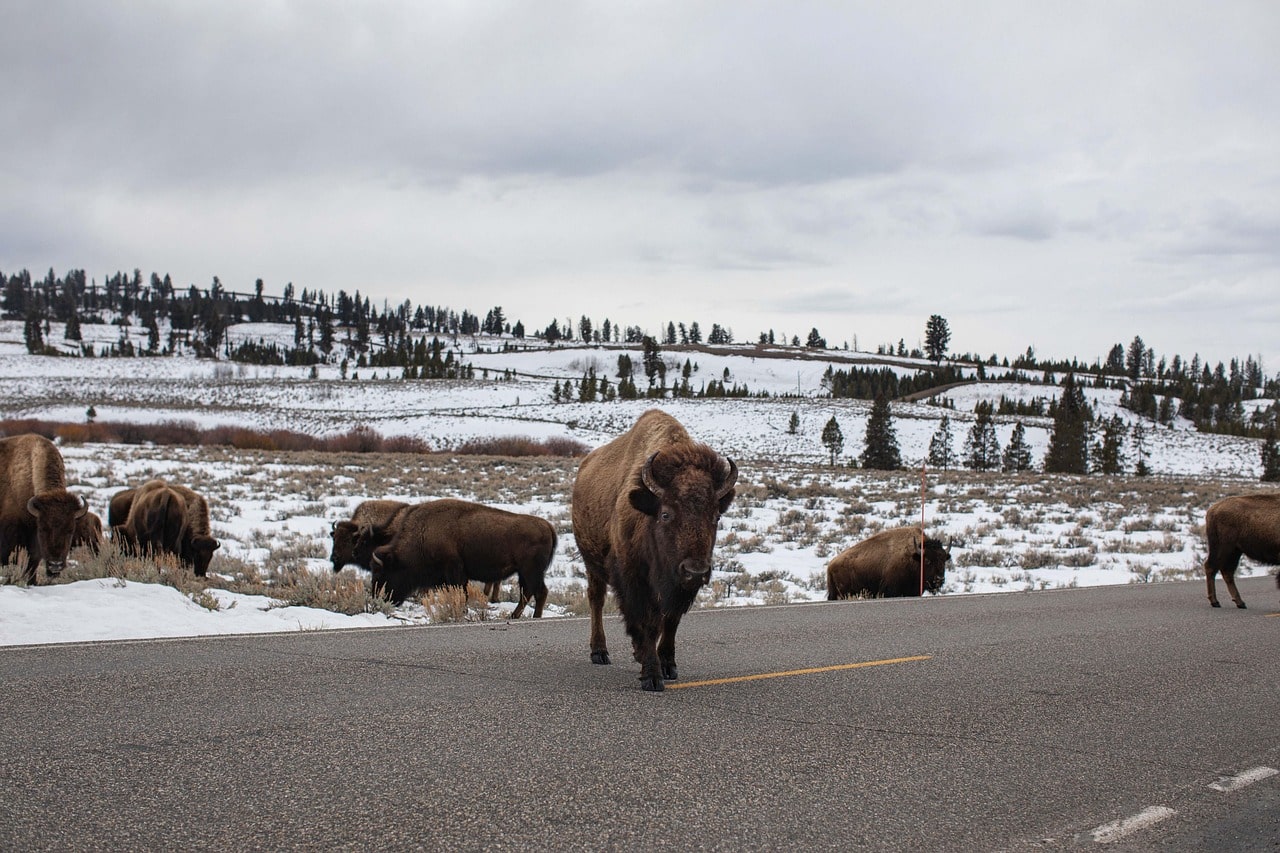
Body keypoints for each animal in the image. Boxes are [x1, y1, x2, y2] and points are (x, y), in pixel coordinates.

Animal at [366, 494, 555, 614]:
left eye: (382, 572)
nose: (377, 597)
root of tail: (547, 526)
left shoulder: (456, 572)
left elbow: (462, 593)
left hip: (530, 571)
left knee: (538, 592)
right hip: (525, 572)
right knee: (530, 592)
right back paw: (516, 616)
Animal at [573, 407, 742, 691]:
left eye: (716, 516)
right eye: (665, 514)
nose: (696, 571)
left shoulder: (678, 588)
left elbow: (670, 621)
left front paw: (668, 665)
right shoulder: (636, 580)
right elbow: (648, 623)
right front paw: (652, 676)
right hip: (591, 563)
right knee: (596, 599)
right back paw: (600, 652)